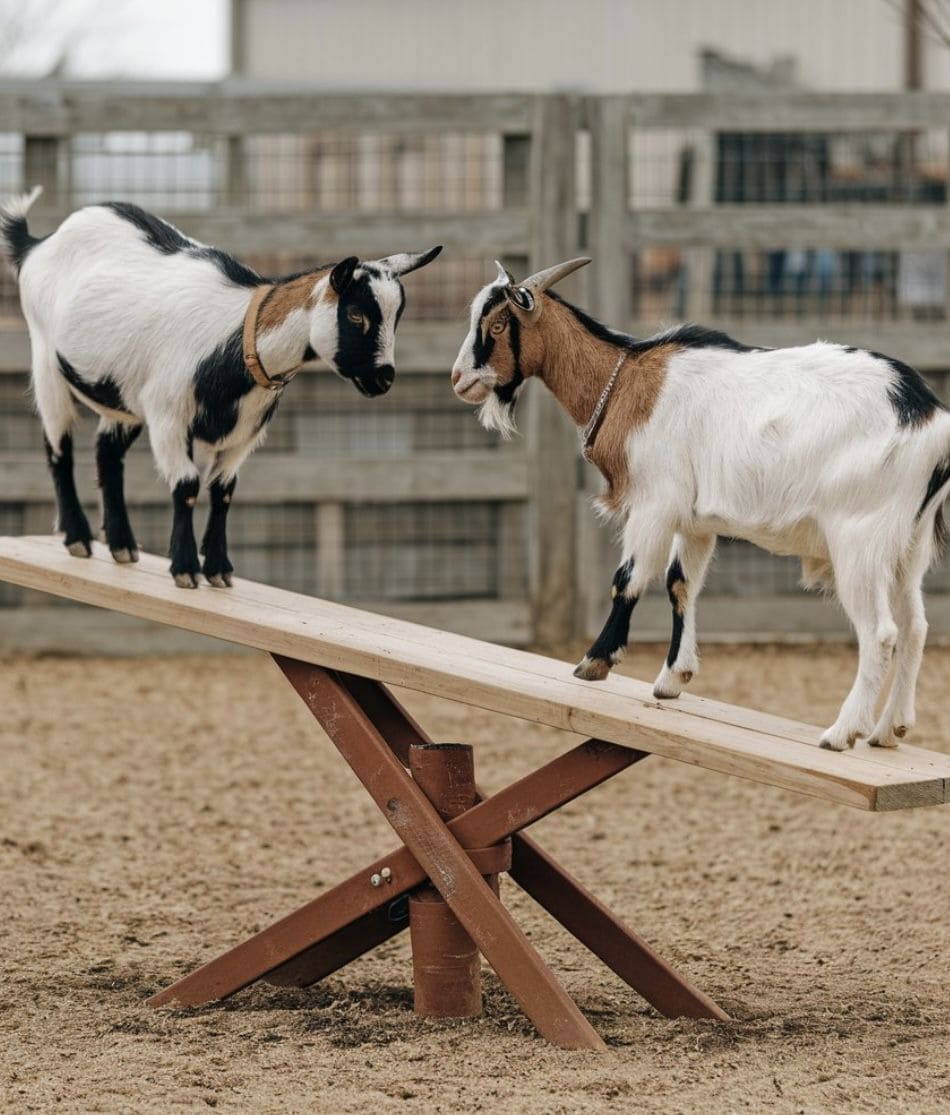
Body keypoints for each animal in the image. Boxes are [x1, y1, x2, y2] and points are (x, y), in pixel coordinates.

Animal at [0, 187, 440, 587]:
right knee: (58, 448)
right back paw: (77, 537)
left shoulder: (243, 434)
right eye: (355, 315)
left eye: (397, 316)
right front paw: (185, 569)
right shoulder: (168, 418)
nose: (383, 378)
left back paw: (122, 546)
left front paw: (219, 569)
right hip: (45, 361)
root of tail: (37, 245)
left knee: (107, 453)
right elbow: (187, 486)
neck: (237, 342)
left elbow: (224, 491)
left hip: (123, 397)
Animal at [451, 257, 950, 751]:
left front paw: (594, 662)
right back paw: (889, 730)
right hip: (908, 545)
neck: (628, 379)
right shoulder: (695, 521)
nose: (459, 380)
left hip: (859, 539)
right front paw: (673, 678)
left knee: (881, 633)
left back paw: (841, 733)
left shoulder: (654, 503)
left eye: (498, 324)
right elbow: (680, 584)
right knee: (915, 626)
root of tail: (929, 416)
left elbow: (627, 581)